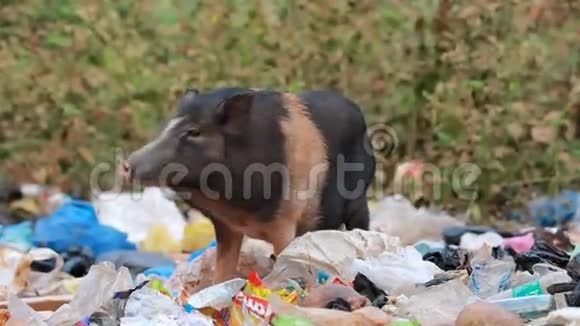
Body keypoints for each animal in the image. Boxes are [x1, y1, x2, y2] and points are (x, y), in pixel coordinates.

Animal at [121, 87, 376, 282]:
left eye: (193, 131)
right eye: (165, 126)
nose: (126, 164)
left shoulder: (285, 222)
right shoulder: (226, 227)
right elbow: (224, 268)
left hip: (358, 200)